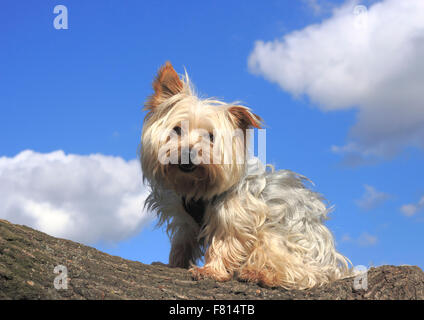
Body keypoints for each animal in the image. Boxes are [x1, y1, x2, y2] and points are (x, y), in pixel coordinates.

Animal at [140, 61, 352, 288]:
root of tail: (331, 263)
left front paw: (211, 270)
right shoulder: (185, 221)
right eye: (177, 130)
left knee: (302, 272)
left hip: (279, 237)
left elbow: (224, 242)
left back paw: (260, 274)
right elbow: (182, 242)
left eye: (211, 137)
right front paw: (173, 264)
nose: (188, 153)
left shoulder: (235, 214)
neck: (195, 186)